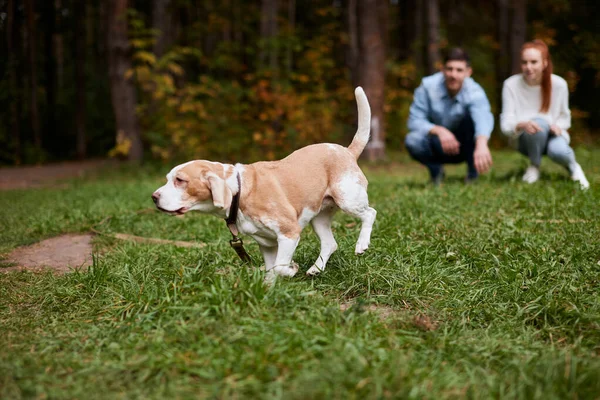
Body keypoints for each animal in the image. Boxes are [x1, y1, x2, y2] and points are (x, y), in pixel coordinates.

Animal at [151, 86, 376, 278]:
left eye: (180, 180)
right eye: (169, 178)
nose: (153, 197)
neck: (239, 191)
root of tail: (347, 151)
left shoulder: (289, 234)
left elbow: (280, 267)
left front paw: (291, 269)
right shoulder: (267, 244)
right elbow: (271, 270)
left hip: (348, 200)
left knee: (370, 213)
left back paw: (361, 244)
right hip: (318, 217)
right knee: (330, 244)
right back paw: (316, 268)